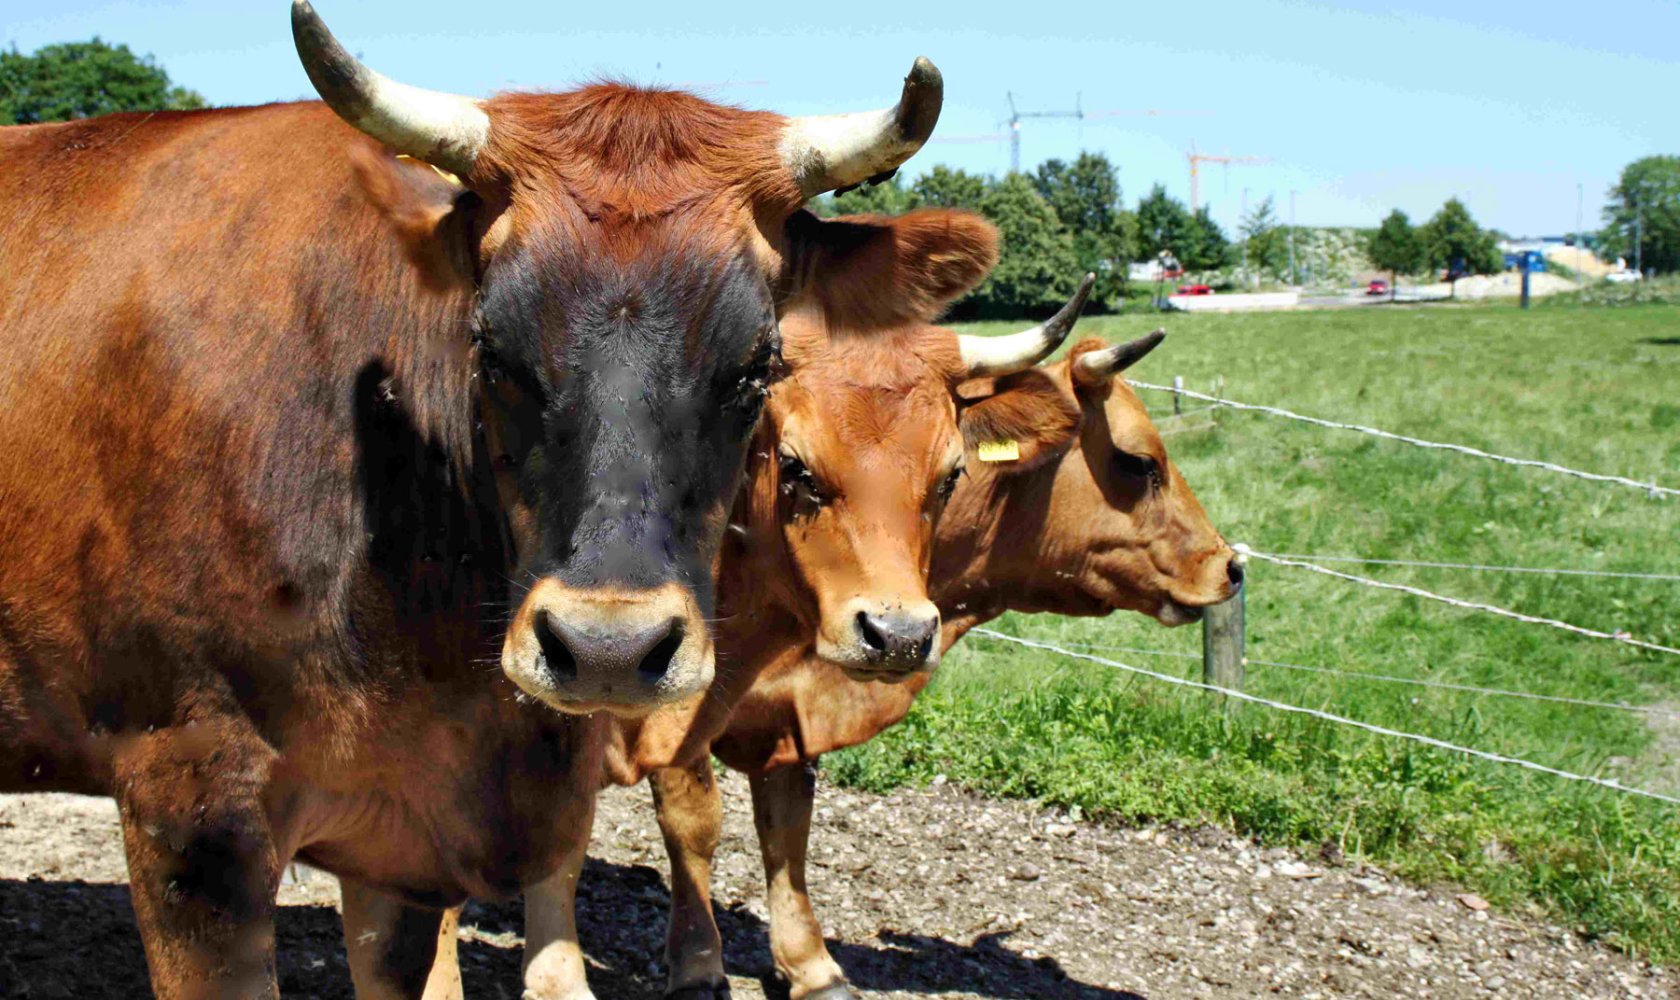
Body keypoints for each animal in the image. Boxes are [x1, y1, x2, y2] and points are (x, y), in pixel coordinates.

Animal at [577, 331, 1243, 999]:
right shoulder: (672, 708)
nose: (1231, 566)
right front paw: (698, 966)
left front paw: (810, 965)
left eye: (952, 472)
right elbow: (694, 824)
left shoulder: (792, 717)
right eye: (1138, 462)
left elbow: (788, 830)